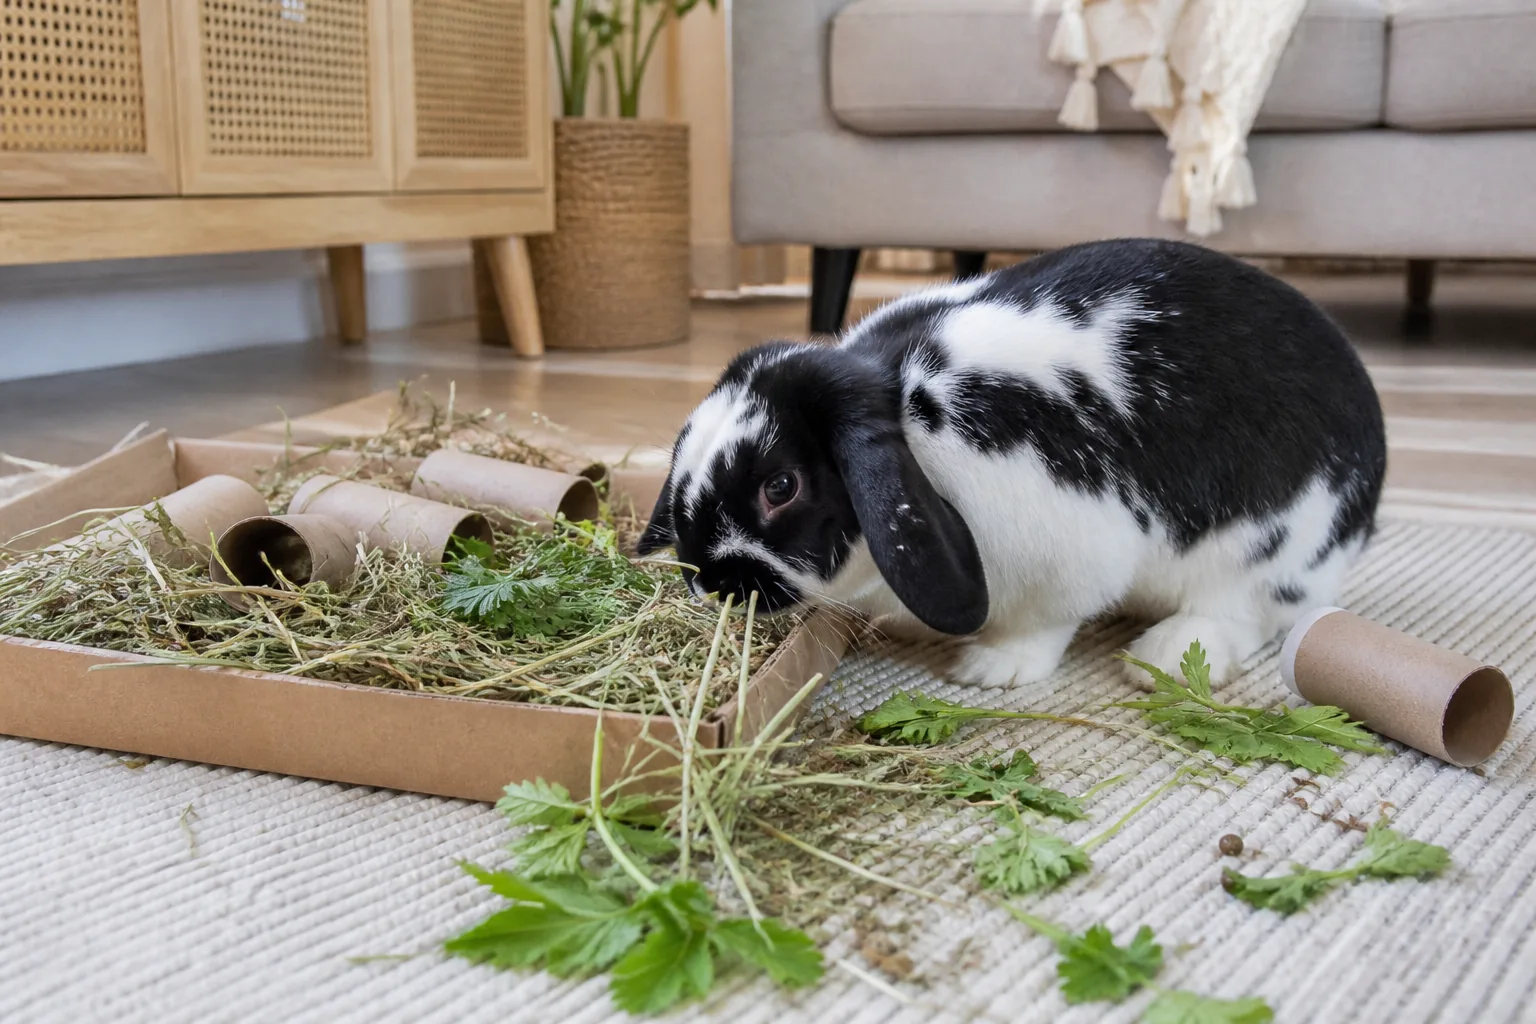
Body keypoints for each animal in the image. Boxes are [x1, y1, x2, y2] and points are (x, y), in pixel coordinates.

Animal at [638, 238, 1386, 689]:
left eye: (781, 486)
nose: (708, 582)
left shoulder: (1071, 548)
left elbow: (1043, 623)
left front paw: (990, 669)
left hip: (1273, 554)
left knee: (1253, 613)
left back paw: (1168, 657)